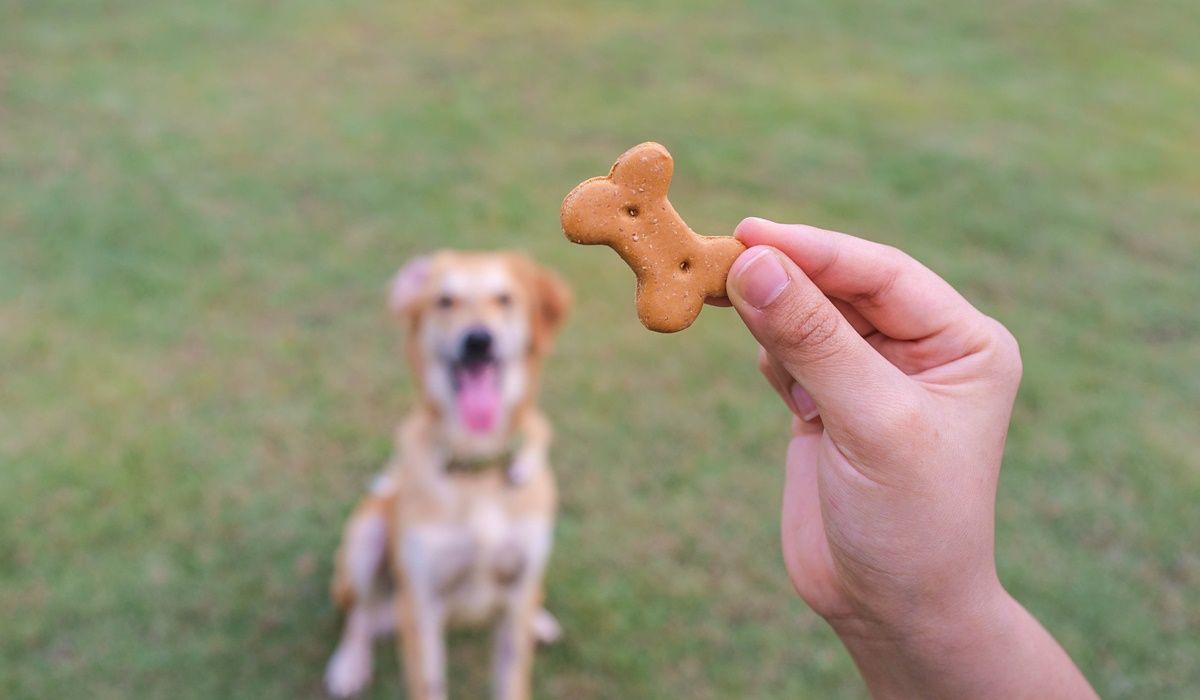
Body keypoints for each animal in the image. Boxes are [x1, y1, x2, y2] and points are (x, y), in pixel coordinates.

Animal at [324, 252, 571, 700]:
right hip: (366, 538)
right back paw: (350, 662)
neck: (477, 464)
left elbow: (511, 678)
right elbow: (428, 683)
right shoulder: (421, 606)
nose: (478, 341)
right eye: (444, 301)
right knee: (359, 614)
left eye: (504, 299)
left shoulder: (516, 592)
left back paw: (540, 621)